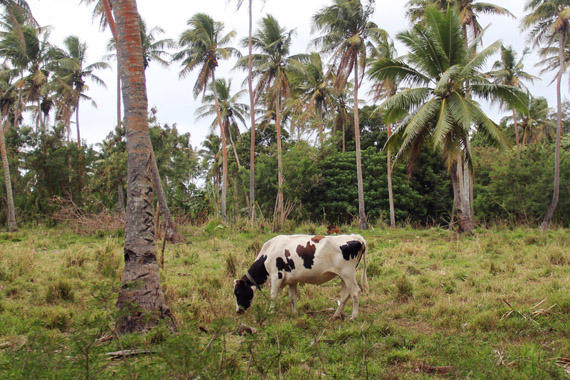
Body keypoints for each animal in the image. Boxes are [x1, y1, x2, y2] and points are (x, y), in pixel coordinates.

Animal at [232, 233, 368, 320]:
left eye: (238, 292)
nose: (238, 311)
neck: (269, 252)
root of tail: (355, 237)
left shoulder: (276, 275)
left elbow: (273, 296)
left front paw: (270, 312)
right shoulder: (292, 280)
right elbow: (293, 297)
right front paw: (294, 313)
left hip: (347, 273)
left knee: (355, 292)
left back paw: (354, 316)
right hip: (343, 276)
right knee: (345, 295)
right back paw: (336, 315)